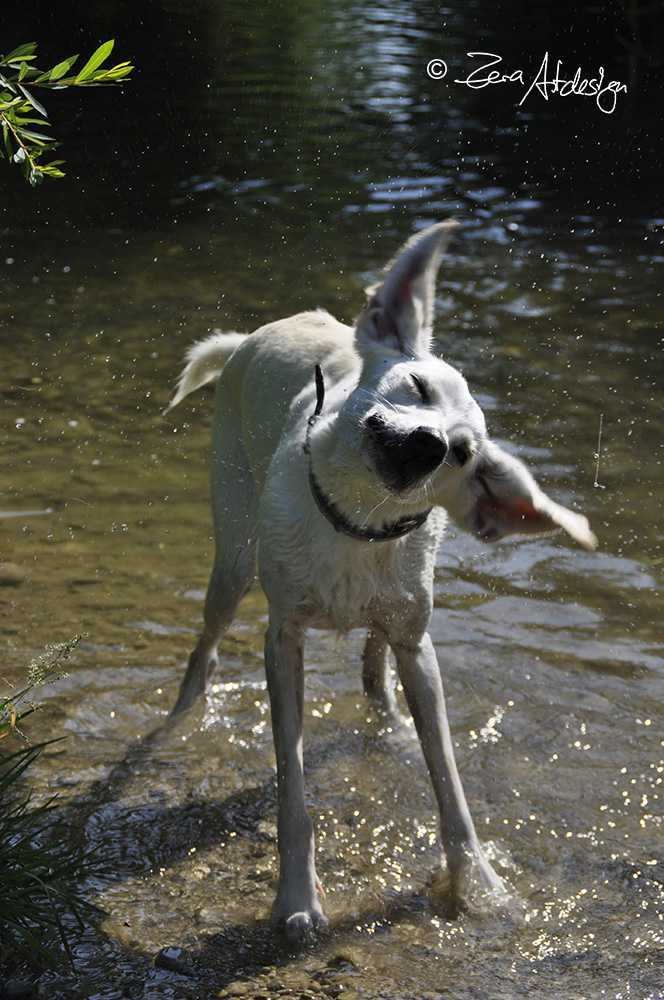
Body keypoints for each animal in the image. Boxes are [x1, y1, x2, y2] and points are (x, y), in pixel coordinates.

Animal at [166, 223, 596, 940]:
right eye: (416, 385)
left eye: (463, 455)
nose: (429, 444)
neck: (353, 523)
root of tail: (256, 334)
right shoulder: (282, 640)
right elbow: (292, 792)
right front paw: (297, 901)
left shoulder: (421, 651)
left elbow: (450, 786)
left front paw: (480, 889)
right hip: (233, 562)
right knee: (205, 652)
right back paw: (179, 721)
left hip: (397, 617)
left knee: (375, 666)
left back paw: (386, 722)